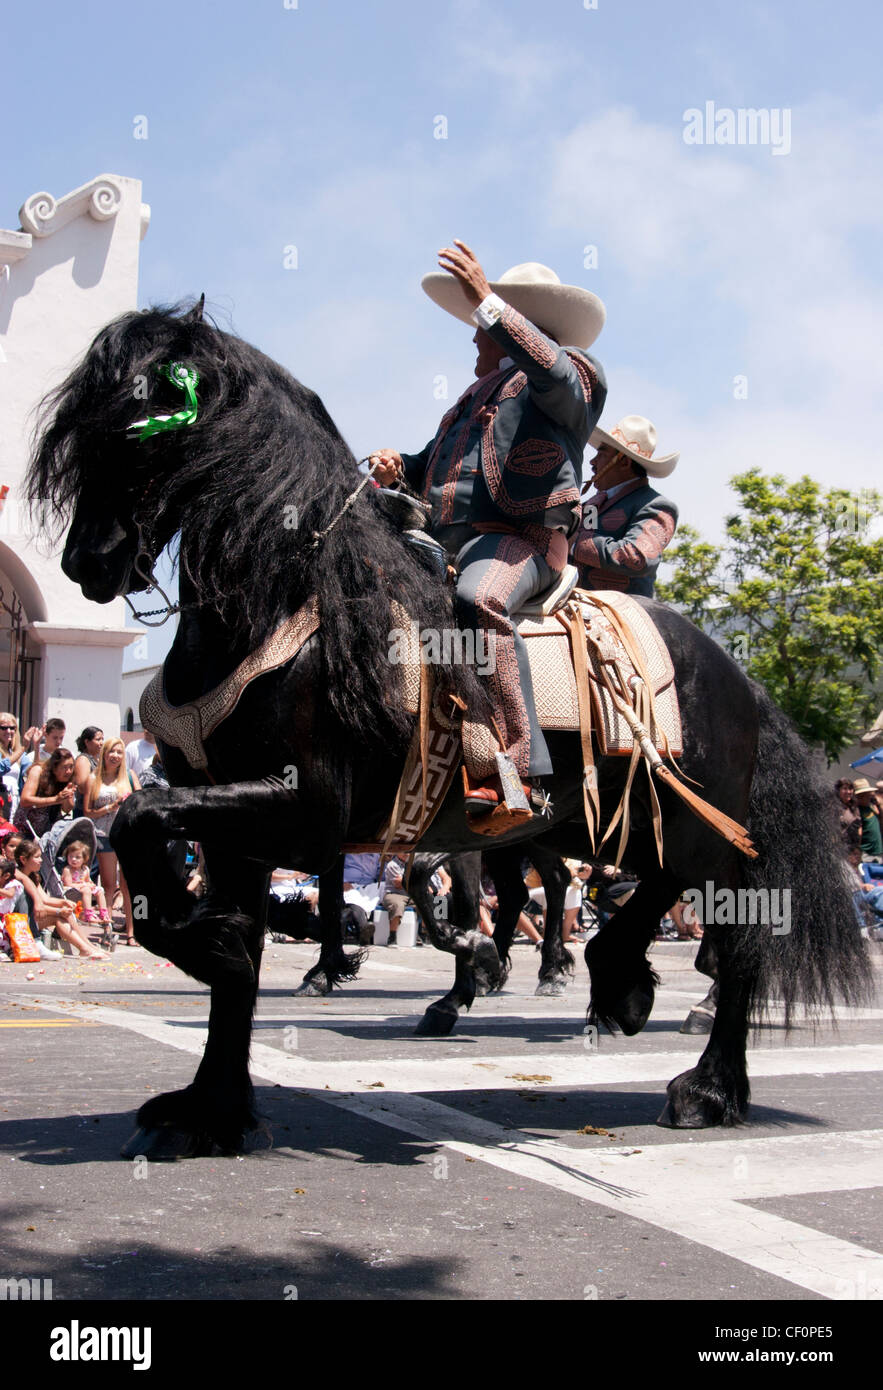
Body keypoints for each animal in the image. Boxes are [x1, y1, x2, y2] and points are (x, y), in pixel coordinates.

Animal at [27, 301, 873, 1150]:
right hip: (615, 822)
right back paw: (616, 983)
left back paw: (706, 1083)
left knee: (733, 933)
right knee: (632, 886)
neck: (292, 612)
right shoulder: (242, 828)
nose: (87, 564)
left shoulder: (303, 809)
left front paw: (220, 951)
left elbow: (140, 818)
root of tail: (738, 674)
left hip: (700, 826)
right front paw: (213, 1104)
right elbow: (227, 926)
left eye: (141, 423)